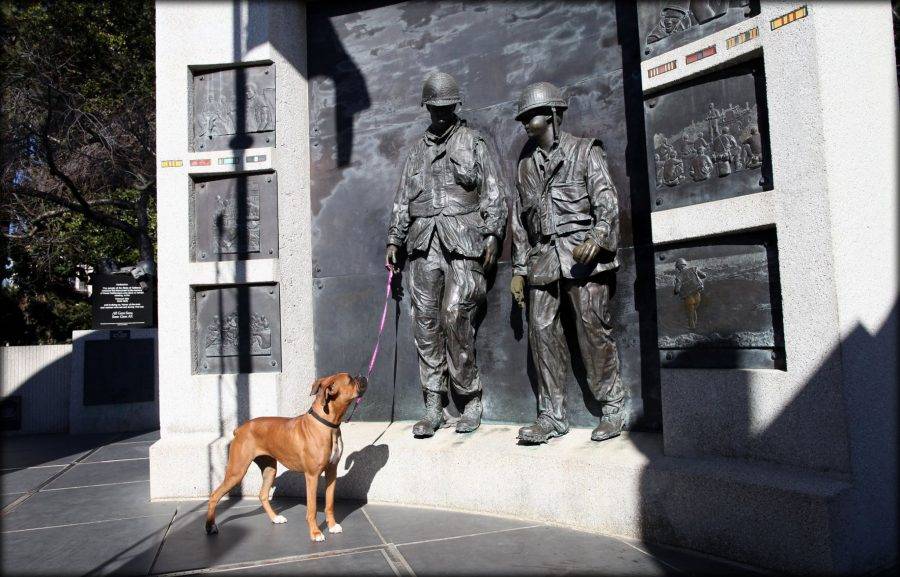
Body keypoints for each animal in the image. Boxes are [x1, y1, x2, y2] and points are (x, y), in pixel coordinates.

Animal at [206, 372, 368, 544]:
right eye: (350, 380)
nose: (363, 376)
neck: (328, 424)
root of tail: (240, 429)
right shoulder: (312, 476)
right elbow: (312, 508)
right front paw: (315, 533)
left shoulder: (331, 472)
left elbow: (329, 503)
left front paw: (331, 526)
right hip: (236, 472)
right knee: (214, 495)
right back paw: (210, 526)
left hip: (269, 470)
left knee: (263, 495)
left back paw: (275, 518)